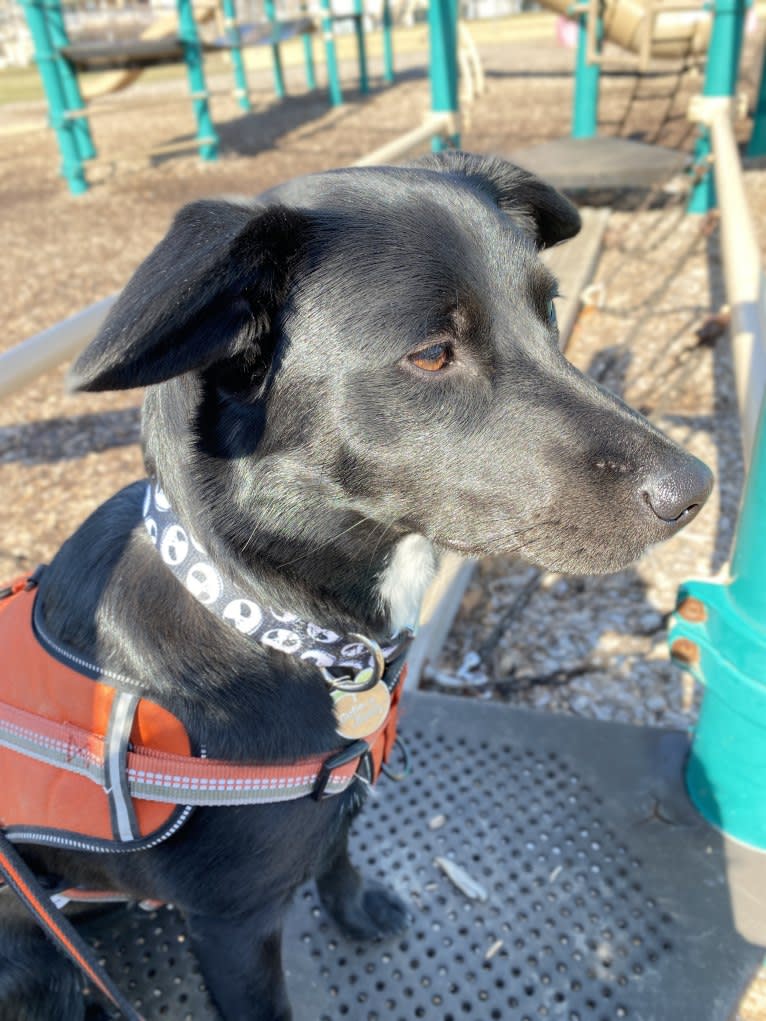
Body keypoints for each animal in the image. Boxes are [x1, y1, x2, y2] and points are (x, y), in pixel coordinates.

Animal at [0, 153, 714, 1021]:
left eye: (549, 309)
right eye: (433, 355)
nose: (696, 488)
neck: (267, 617)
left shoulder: (343, 795)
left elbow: (338, 849)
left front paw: (357, 905)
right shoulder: (234, 926)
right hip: (41, 961)